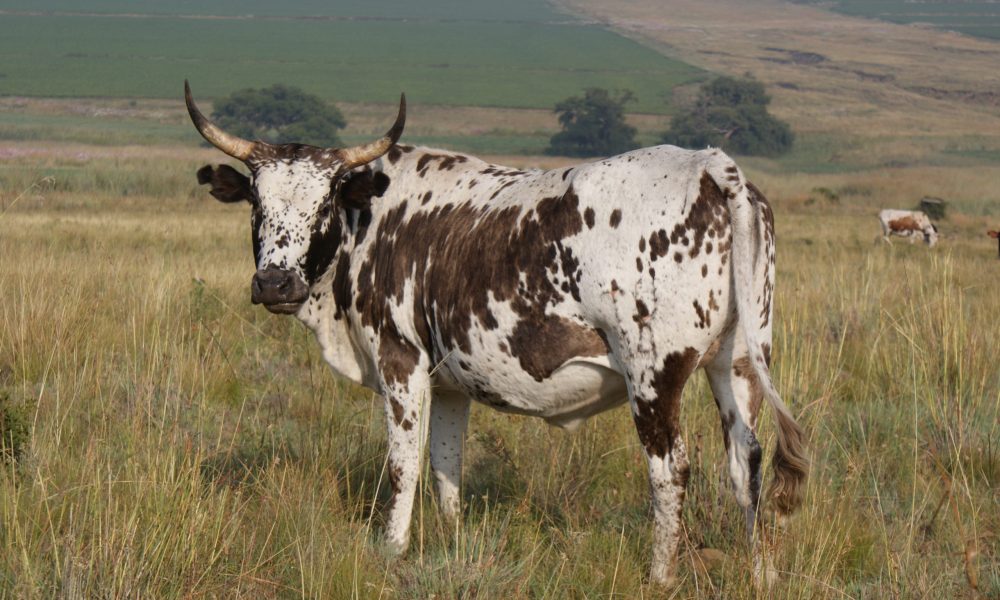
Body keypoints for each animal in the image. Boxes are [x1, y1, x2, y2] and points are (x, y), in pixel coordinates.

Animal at [184, 81, 808, 584]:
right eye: (256, 203)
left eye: (324, 203)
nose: (275, 282)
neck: (371, 219)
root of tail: (707, 164)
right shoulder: (450, 382)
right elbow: (446, 465)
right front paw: (452, 540)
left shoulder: (401, 361)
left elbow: (404, 463)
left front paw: (391, 549)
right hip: (738, 364)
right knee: (746, 463)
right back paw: (763, 573)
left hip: (653, 374)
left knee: (670, 470)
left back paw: (660, 575)